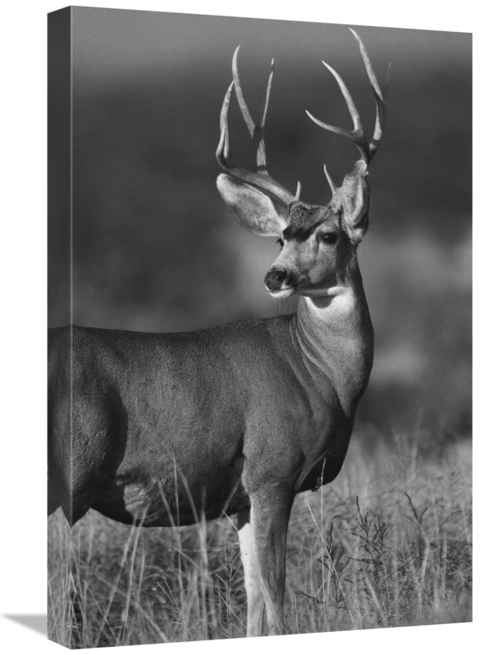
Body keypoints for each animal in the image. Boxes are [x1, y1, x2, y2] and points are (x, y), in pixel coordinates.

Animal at [48, 28, 389, 637]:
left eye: (327, 235)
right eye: (280, 237)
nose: (275, 276)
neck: (321, 375)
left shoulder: (241, 499)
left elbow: (254, 603)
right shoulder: (272, 470)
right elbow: (276, 601)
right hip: (73, 468)